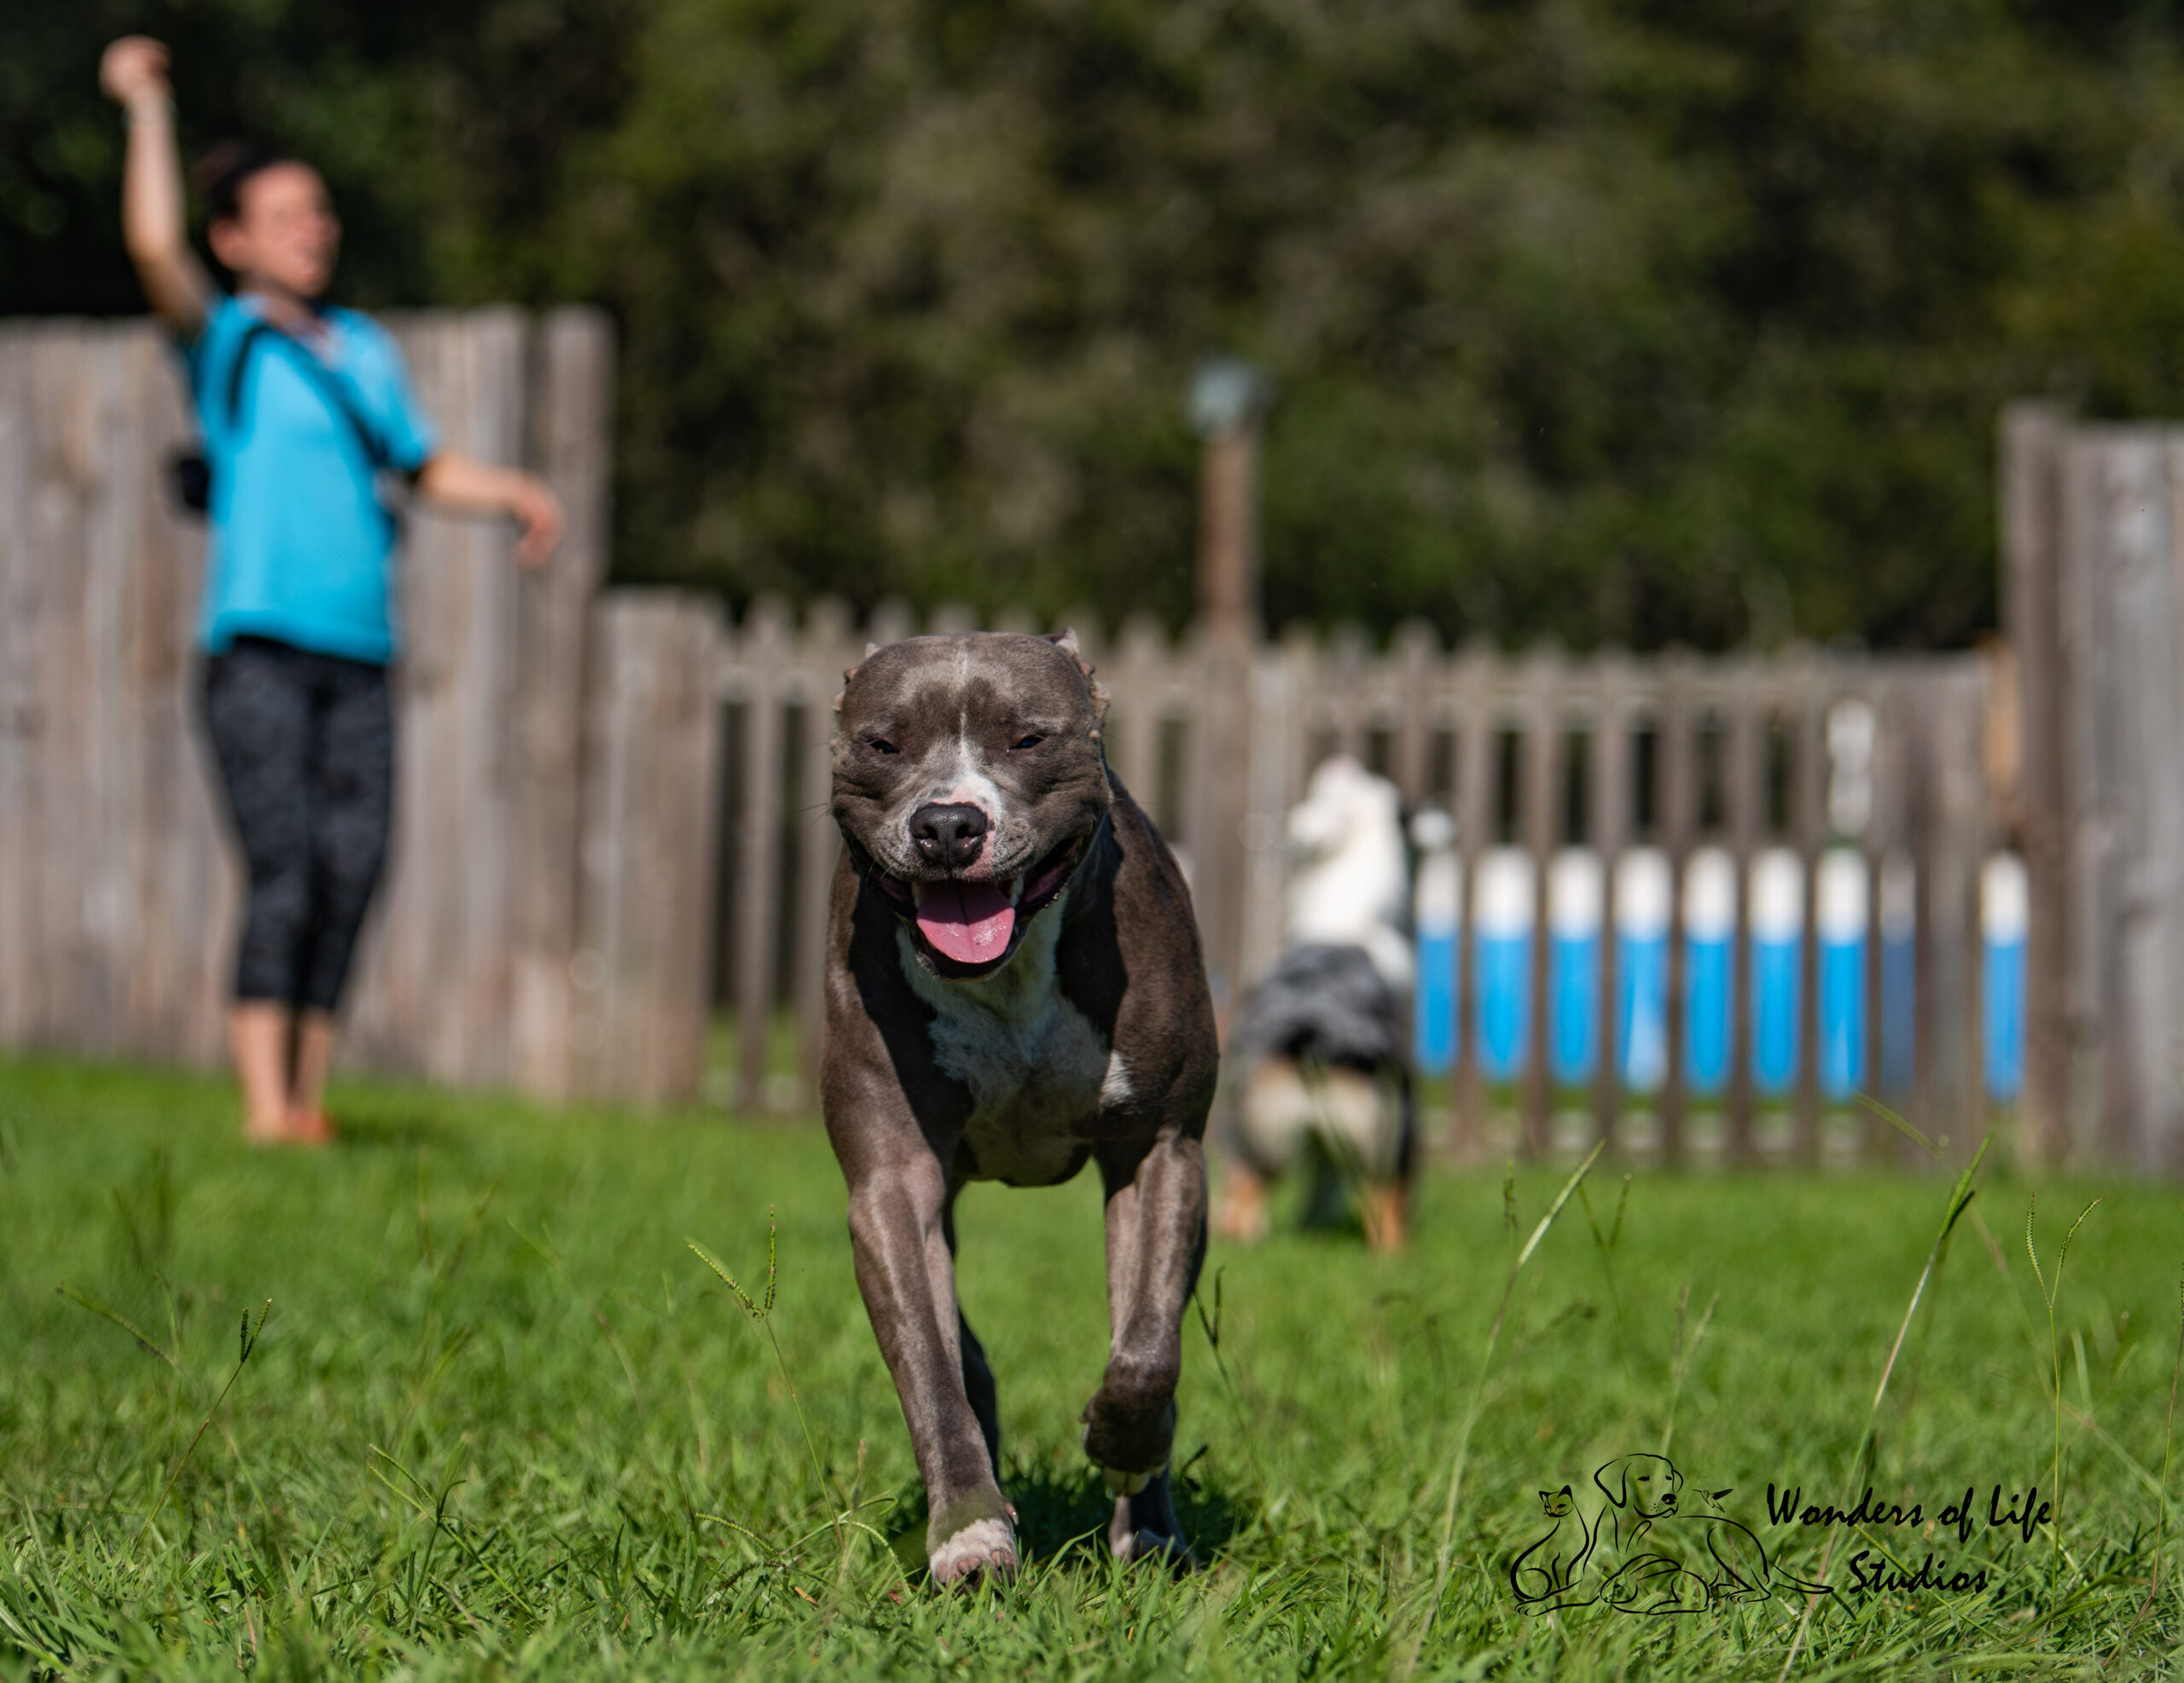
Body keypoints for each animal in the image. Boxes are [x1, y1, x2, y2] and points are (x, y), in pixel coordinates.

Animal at [821, 633, 1223, 1588]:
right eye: (884, 743)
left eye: (1030, 738)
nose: (947, 825)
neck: (1005, 973)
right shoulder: (892, 1182)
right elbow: (932, 1370)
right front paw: (968, 1529)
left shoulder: (1162, 1150)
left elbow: (1147, 1347)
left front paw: (1122, 1444)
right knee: (962, 1358)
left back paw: (1152, 1530)